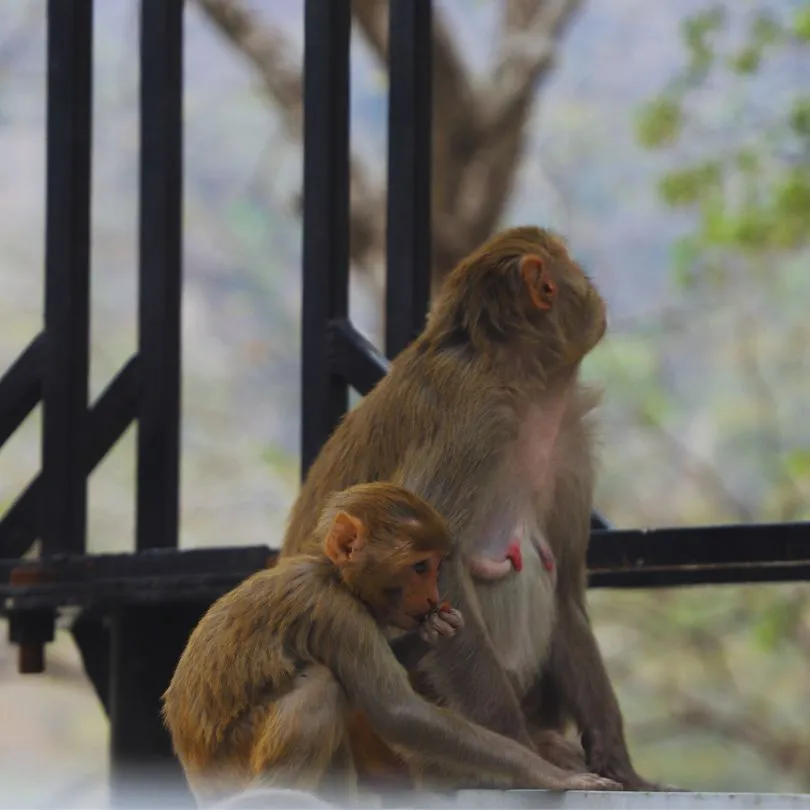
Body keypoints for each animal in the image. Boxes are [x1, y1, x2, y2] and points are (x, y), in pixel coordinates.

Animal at [162, 482, 621, 807]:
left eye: (435, 567)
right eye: (420, 567)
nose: (434, 597)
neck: (334, 576)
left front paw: (431, 633)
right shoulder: (339, 615)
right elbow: (398, 713)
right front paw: (545, 770)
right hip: (232, 766)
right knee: (323, 686)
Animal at [280, 226, 658, 791]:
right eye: (568, 263)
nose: (592, 287)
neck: (520, 382)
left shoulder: (568, 444)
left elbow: (566, 588)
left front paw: (619, 763)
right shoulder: (476, 421)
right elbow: (440, 566)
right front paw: (528, 757)